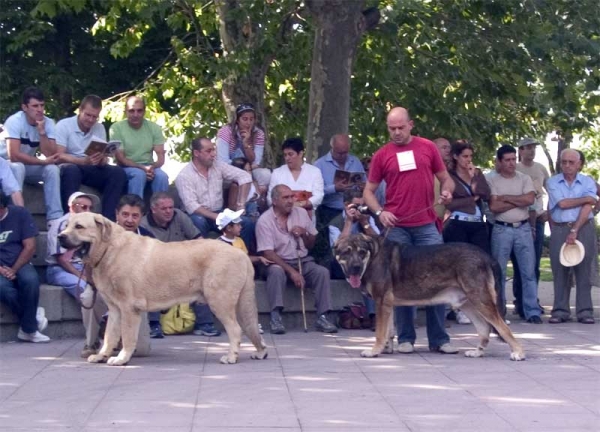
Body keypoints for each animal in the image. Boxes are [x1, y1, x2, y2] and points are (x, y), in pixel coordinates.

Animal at [60, 213, 268, 364]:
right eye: (66, 226)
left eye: (79, 227)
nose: (59, 237)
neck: (108, 249)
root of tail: (242, 255)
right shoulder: (115, 309)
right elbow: (110, 335)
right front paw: (102, 355)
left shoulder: (128, 308)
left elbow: (127, 336)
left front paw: (121, 358)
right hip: (240, 304)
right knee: (250, 328)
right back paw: (260, 352)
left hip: (220, 302)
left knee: (235, 330)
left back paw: (231, 357)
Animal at [332, 235, 524, 360]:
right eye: (346, 252)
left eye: (362, 252)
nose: (356, 268)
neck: (373, 255)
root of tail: (486, 256)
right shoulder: (387, 304)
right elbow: (388, 332)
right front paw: (385, 349)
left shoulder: (381, 302)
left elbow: (380, 332)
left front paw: (373, 351)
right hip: (468, 303)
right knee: (484, 328)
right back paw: (478, 352)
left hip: (480, 299)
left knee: (502, 327)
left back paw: (519, 353)